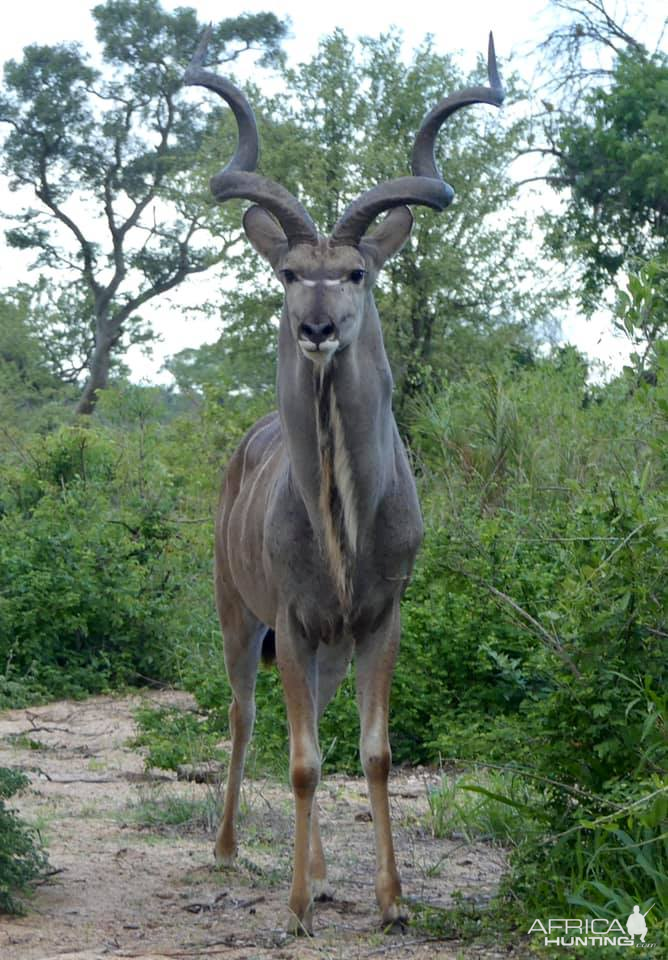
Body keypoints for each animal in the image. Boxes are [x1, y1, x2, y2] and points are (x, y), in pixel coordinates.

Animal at [185, 31, 504, 936]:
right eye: (291, 273)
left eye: (356, 273)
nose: (318, 328)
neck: (342, 524)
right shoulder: (293, 621)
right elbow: (300, 762)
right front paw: (295, 909)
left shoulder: (376, 618)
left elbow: (373, 752)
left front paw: (392, 902)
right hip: (239, 615)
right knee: (246, 715)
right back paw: (230, 852)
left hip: (321, 647)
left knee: (316, 726)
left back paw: (327, 871)